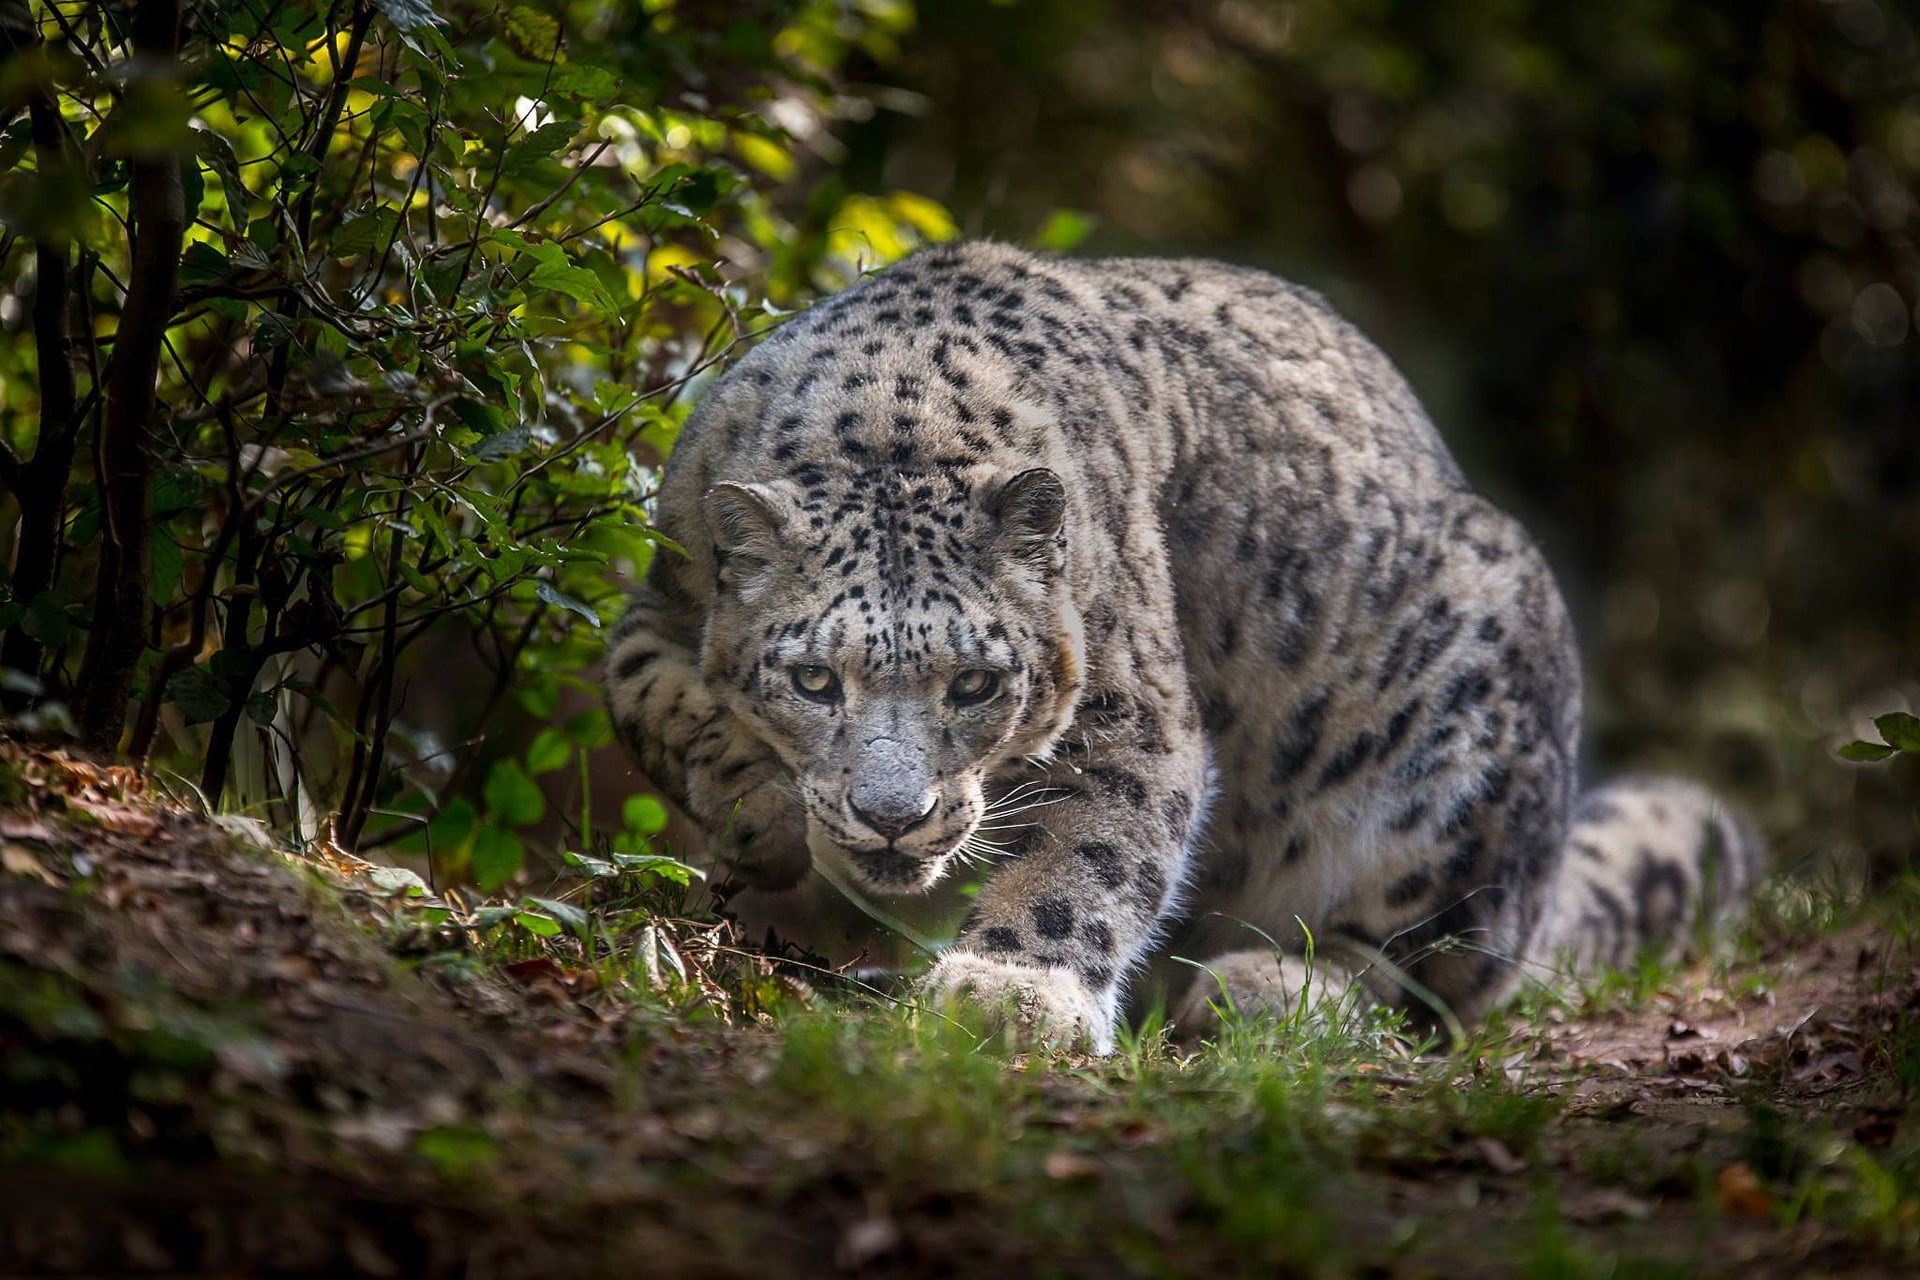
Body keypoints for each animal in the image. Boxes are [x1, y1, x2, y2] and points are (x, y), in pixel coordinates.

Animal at [603, 240, 1760, 1052]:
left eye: (975, 682)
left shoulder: (1134, 708)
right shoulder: (659, 596)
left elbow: (1093, 849)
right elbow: (645, 694)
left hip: (1461, 754)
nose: (893, 816)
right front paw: (758, 810)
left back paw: (1268, 984)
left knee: (1437, 968)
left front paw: (1009, 993)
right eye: (812, 677)